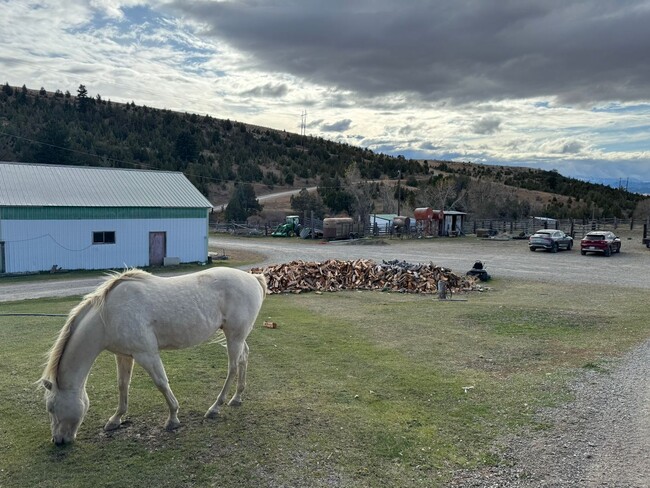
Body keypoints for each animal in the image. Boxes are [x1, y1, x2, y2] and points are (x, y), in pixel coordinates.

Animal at [40, 266, 266, 446]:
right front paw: (115, 420)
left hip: (234, 336)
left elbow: (161, 383)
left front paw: (173, 419)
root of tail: (253, 278)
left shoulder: (146, 354)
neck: (109, 316)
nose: (58, 441)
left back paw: (215, 408)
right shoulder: (124, 355)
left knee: (233, 368)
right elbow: (122, 385)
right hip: (238, 337)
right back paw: (237, 398)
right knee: (244, 358)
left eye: (51, 408)